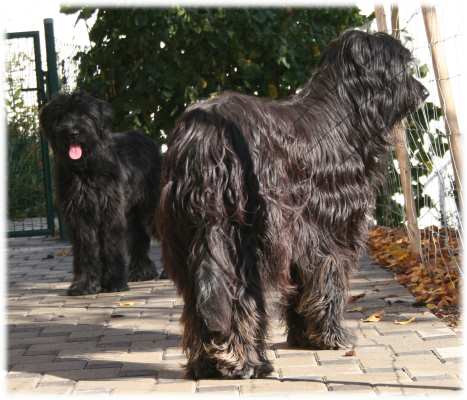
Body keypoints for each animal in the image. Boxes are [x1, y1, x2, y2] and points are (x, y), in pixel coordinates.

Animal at [40, 91, 165, 296]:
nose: (73, 132)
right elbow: (85, 249)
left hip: (151, 207)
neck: (85, 169)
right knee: (139, 239)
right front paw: (84, 285)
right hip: (132, 214)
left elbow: (111, 246)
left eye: (85, 115)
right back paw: (141, 272)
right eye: (61, 116)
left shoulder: (110, 212)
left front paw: (114, 282)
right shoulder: (80, 216)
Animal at [159, 30, 430, 378]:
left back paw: (207, 362)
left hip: (187, 232)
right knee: (239, 297)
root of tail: (204, 137)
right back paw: (246, 362)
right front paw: (331, 336)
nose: (424, 92)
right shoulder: (330, 231)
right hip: (245, 236)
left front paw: (306, 337)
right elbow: (328, 281)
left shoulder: (304, 235)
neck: (343, 115)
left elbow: (304, 285)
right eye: (401, 65)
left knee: (201, 300)